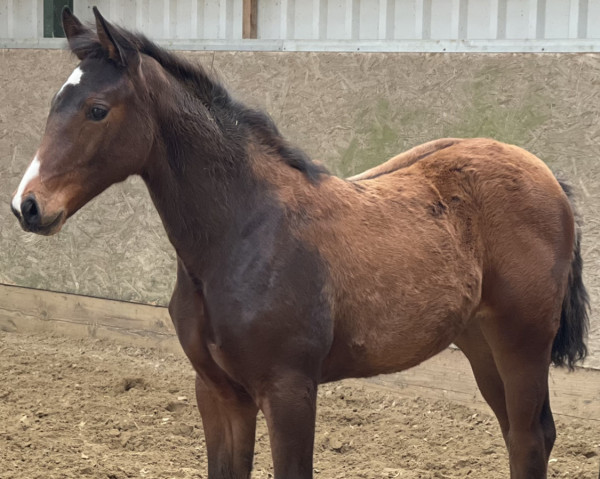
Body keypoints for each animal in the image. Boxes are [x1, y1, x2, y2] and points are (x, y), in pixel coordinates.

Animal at [11, 8, 588, 479]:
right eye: (55, 103)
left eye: (98, 109)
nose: (28, 206)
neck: (242, 234)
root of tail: (545, 176)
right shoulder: (218, 392)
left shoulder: (289, 391)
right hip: (481, 343)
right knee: (524, 435)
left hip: (523, 343)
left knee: (530, 439)